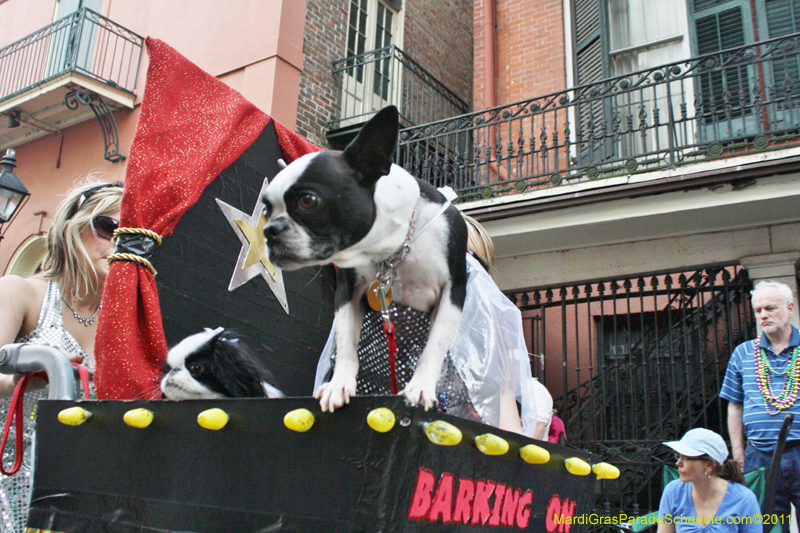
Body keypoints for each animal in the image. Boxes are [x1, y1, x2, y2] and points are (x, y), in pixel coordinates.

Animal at [262, 105, 468, 412]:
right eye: (265, 209)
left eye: (307, 201)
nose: (269, 230)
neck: (392, 248)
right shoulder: (348, 292)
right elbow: (348, 345)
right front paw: (339, 385)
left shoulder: (453, 293)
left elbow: (434, 348)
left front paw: (420, 387)